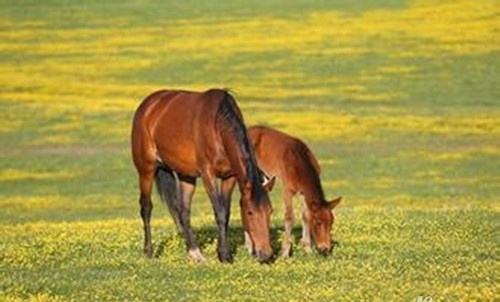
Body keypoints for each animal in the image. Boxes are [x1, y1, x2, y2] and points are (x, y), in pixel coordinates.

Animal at [131, 88, 276, 262]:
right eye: (250, 212)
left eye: (270, 211)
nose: (266, 254)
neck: (218, 126)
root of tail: (148, 105)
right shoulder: (208, 175)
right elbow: (219, 212)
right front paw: (224, 255)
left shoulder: (229, 177)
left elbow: (226, 212)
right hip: (146, 169)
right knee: (146, 207)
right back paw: (149, 252)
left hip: (186, 176)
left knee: (183, 211)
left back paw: (194, 253)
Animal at [229, 125, 340, 258]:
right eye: (318, 223)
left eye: (331, 222)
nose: (325, 248)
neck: (299, 161)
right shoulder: (288, 189)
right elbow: (289, 217)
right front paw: (285, 252)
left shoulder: (303, 192)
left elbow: (305, 216)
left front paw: (307, 249)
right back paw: (249, 246)